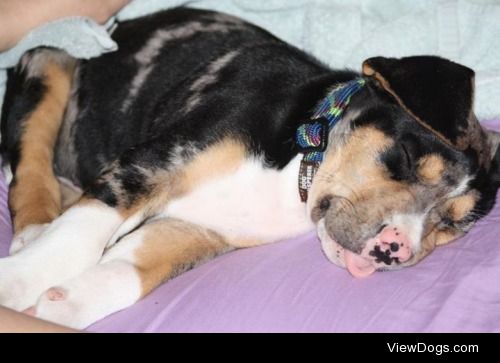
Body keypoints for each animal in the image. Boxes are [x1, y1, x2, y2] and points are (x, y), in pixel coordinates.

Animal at [0, 7, 500, 328]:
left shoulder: (200, 229)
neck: (300, 160)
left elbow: (133, 266)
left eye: (450, 225)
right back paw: (35, 227)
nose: (393, 249)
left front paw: (65, 301)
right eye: (407, 160)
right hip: (48, 62)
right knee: (28, 166)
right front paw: (18, 283)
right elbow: (80, 235)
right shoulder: (154, 162)